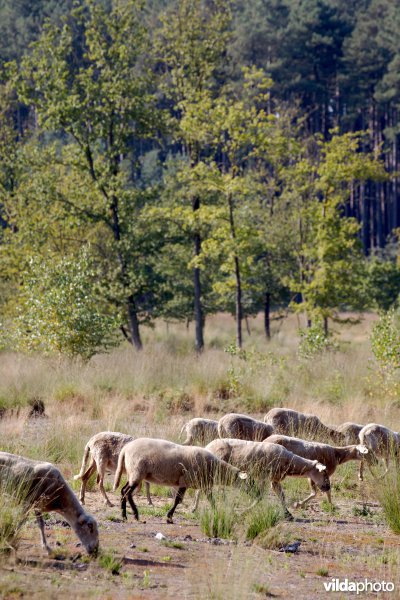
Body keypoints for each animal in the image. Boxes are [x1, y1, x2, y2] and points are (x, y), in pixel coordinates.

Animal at [112, 436, 248, 524]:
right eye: (247, 481)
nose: (252, 492)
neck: (215, 468)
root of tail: (125, 449)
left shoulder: (204, 485)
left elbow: (211, 500)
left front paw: (216, 512)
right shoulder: (185, 481)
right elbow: (178, 500)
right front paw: (169, 517)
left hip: (133, 473)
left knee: (124, 491)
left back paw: (125, 515)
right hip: (137, 471)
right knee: (127, 493)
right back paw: (134, 515)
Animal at [197, 436, 332, 520]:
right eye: (324, 473)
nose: (328, 487)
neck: (290, 462)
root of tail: (207, 446)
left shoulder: (275, 479)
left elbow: (281, 496)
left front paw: (288, 514)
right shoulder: (264, 477)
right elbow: (260, 496)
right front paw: (245, 511)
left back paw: (196, 509)